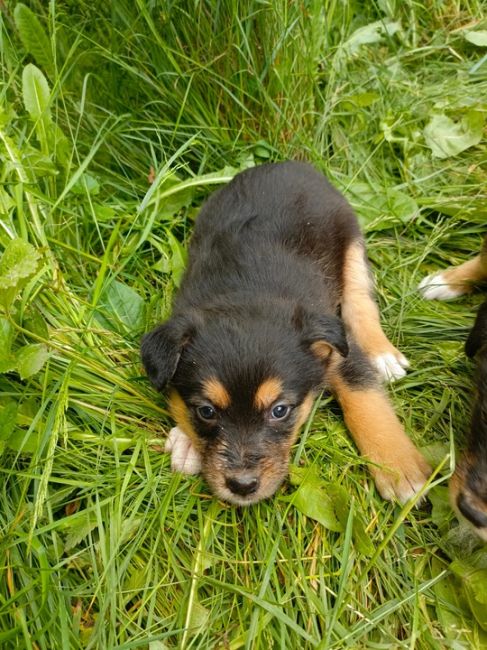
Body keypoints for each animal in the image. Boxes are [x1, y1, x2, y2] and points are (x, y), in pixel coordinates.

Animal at [141, 159, 430, 504]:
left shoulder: (338, 351)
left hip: (351, 242)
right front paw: (186, 442)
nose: (242, 486)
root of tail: (285, 163)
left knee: (360, 302)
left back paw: (383, 354)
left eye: (280, 410)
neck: (247, 292)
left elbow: (366, 402)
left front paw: (400, 471)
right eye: (206, 411)